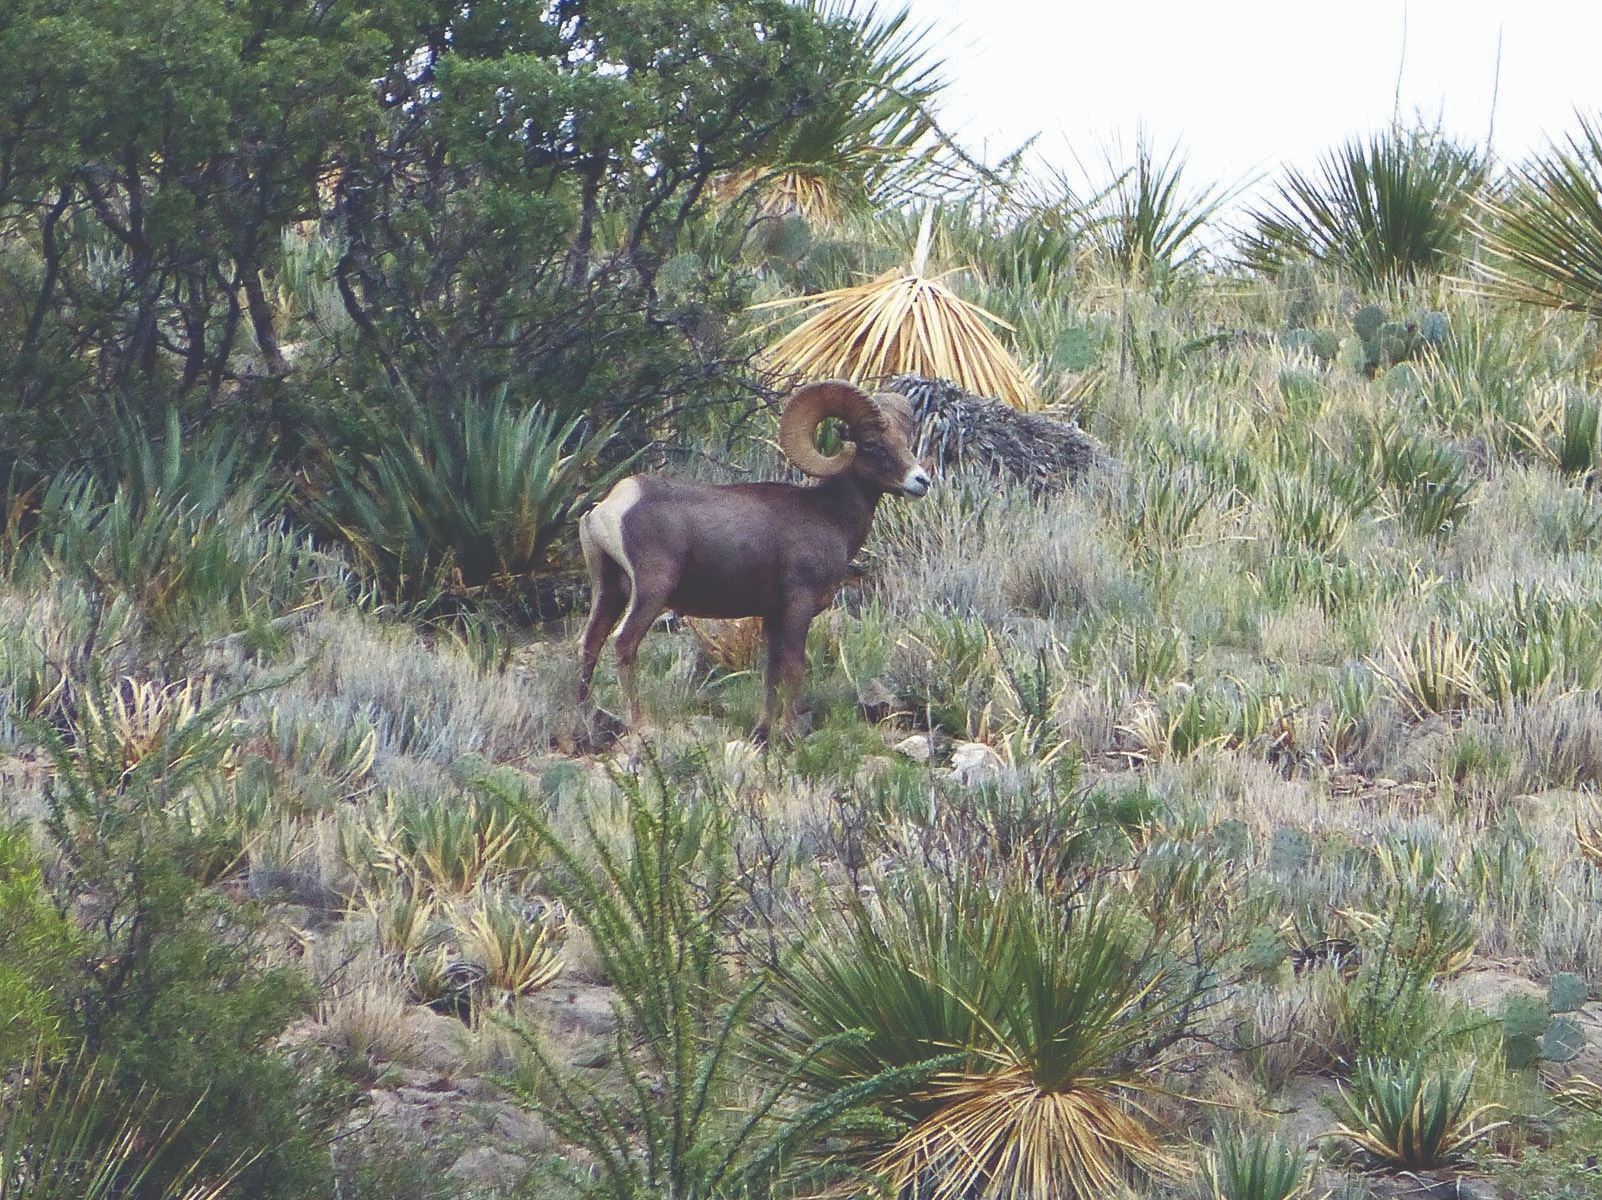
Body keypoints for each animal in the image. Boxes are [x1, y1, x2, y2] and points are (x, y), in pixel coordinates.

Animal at [577, 380, 932, 740]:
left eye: (904, 442)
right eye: (872, 444)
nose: (921, 481)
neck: (829, 515)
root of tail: (612, 505)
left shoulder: (772, 615)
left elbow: (770, 672)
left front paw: (763, 732)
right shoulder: (798, 605)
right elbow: (794, 666)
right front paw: (791, 732)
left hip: (608, 591)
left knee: (590, 644)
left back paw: (585, 723)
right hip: (651, 591)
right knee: (624, 643)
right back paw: (640, 725)